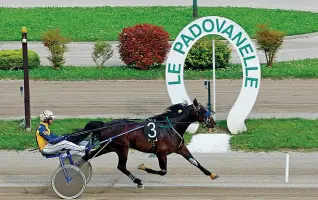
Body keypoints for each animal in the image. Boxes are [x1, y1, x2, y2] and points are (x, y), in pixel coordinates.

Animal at [79, 98, 219, 188]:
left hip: (108, 147)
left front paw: (211, 174)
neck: (171, 127)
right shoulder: (161, 152)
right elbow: (163, 171)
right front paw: (143, 167)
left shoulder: (180, 148)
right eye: (203, 110)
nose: (213, 122)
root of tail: (104, 125)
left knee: (88, 156)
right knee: (121, 166)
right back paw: (138, 181)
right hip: (122, 148)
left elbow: (195, 162)